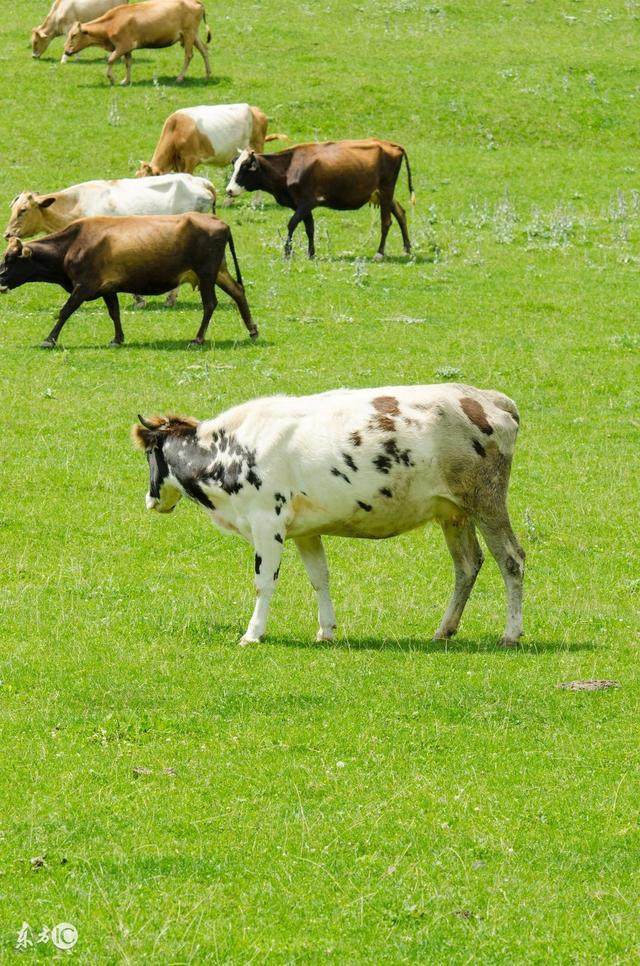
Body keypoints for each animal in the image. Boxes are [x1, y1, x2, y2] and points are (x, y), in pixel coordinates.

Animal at [0, 215, 256, 348]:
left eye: (10, 259)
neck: (73, 243)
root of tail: (219, 221)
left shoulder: (84, 285)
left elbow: (65, 311)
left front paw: (49, 340)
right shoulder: (107, 287)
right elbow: (114, 313)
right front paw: (118, 339)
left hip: (206, 274)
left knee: (210, 303)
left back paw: (198, 338)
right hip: (218, 272)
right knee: (238, 292)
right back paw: (252, 330)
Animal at [64, 0, 211, 86]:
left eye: (74, 35)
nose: (66, 51)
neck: (111, 23)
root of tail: (195, 2)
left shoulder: (123, 45)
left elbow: (111, 60)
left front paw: (112, 79)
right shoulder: (127, 49)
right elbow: (128, 63)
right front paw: (126, 81)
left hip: (188, 34)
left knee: (188, 55)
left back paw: (180, 78)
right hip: (193, 35)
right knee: (204, 50)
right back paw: (208, 74)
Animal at [131, 386, 524, 652]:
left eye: (150, 454)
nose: (151, 500)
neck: (231, 450)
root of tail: (489, 399)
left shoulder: (267, 522)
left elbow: (264, 582)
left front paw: (252, 634)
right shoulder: (305, 531)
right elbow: (319, 579)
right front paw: (326, 631)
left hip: (486, 501)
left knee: (511, 559)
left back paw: (511, 633)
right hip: (453, 512)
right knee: (467, 564)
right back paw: (444, 630)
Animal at [225, 139, 416, 260]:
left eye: (245, 167)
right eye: (235, 165)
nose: (229, 190)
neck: (290, 166)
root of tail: (391, 145)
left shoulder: (307, 202)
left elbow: (292, 224)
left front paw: (287, 252)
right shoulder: (301, 204)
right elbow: (310, 228)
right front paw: (311, 253)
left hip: (386, 190)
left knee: (386, 221)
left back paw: (380, 253)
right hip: (383, 195)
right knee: (400, 213)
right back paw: (407, 248)